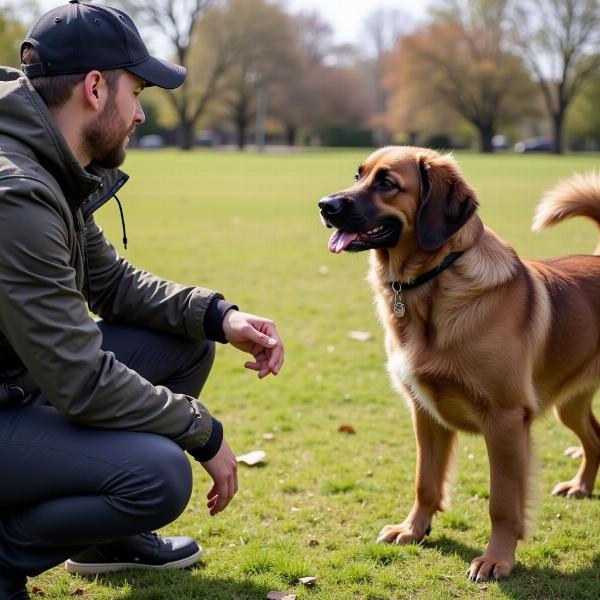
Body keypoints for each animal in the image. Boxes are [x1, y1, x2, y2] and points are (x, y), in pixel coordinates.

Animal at [322, 143, 600, 580]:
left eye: (387, 183)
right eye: (358, 176)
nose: (324, 205)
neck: (434, 282)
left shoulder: (505, 421)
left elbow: (502, 503)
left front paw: (497, 558)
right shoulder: (424, 413)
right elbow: (425, 482)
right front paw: (413, 529)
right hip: (568, 405)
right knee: (594, 439)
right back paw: (581, 486)